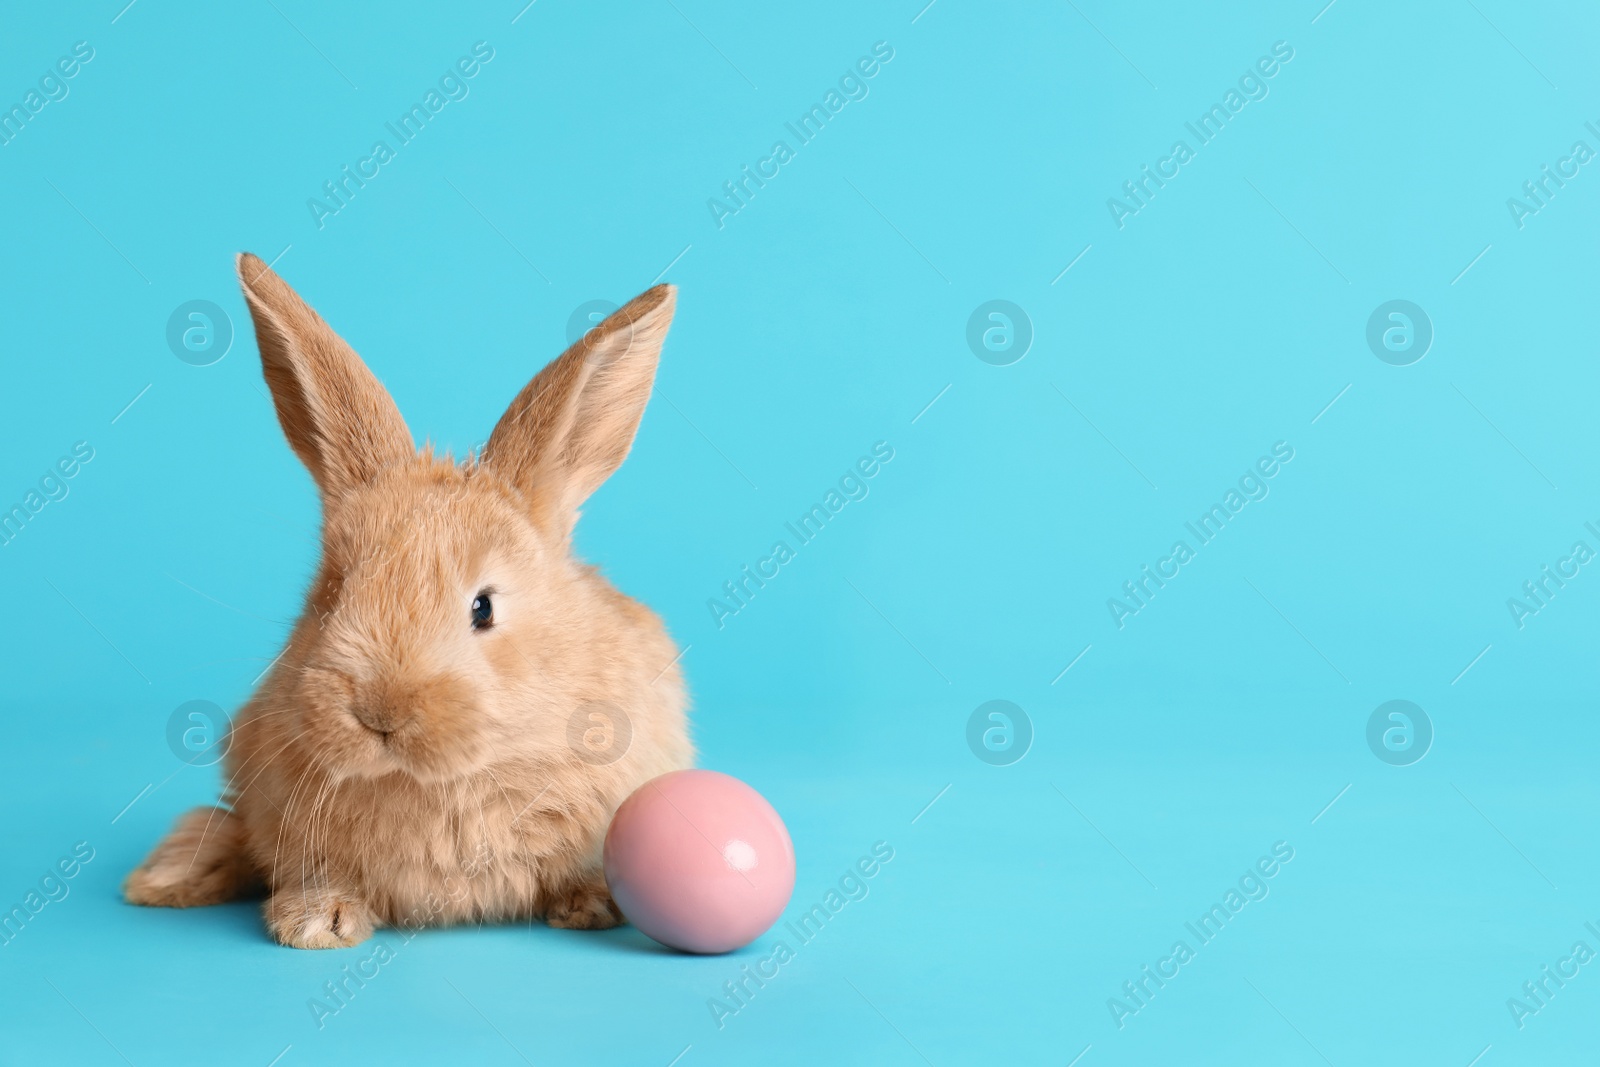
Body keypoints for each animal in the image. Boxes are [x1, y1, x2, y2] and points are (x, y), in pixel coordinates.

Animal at [126, 255, 694, 953]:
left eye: (483, 608)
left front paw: (592, 903)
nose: (381, 713)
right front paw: (317, 924)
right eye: (331, 593)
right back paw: (164, 879)